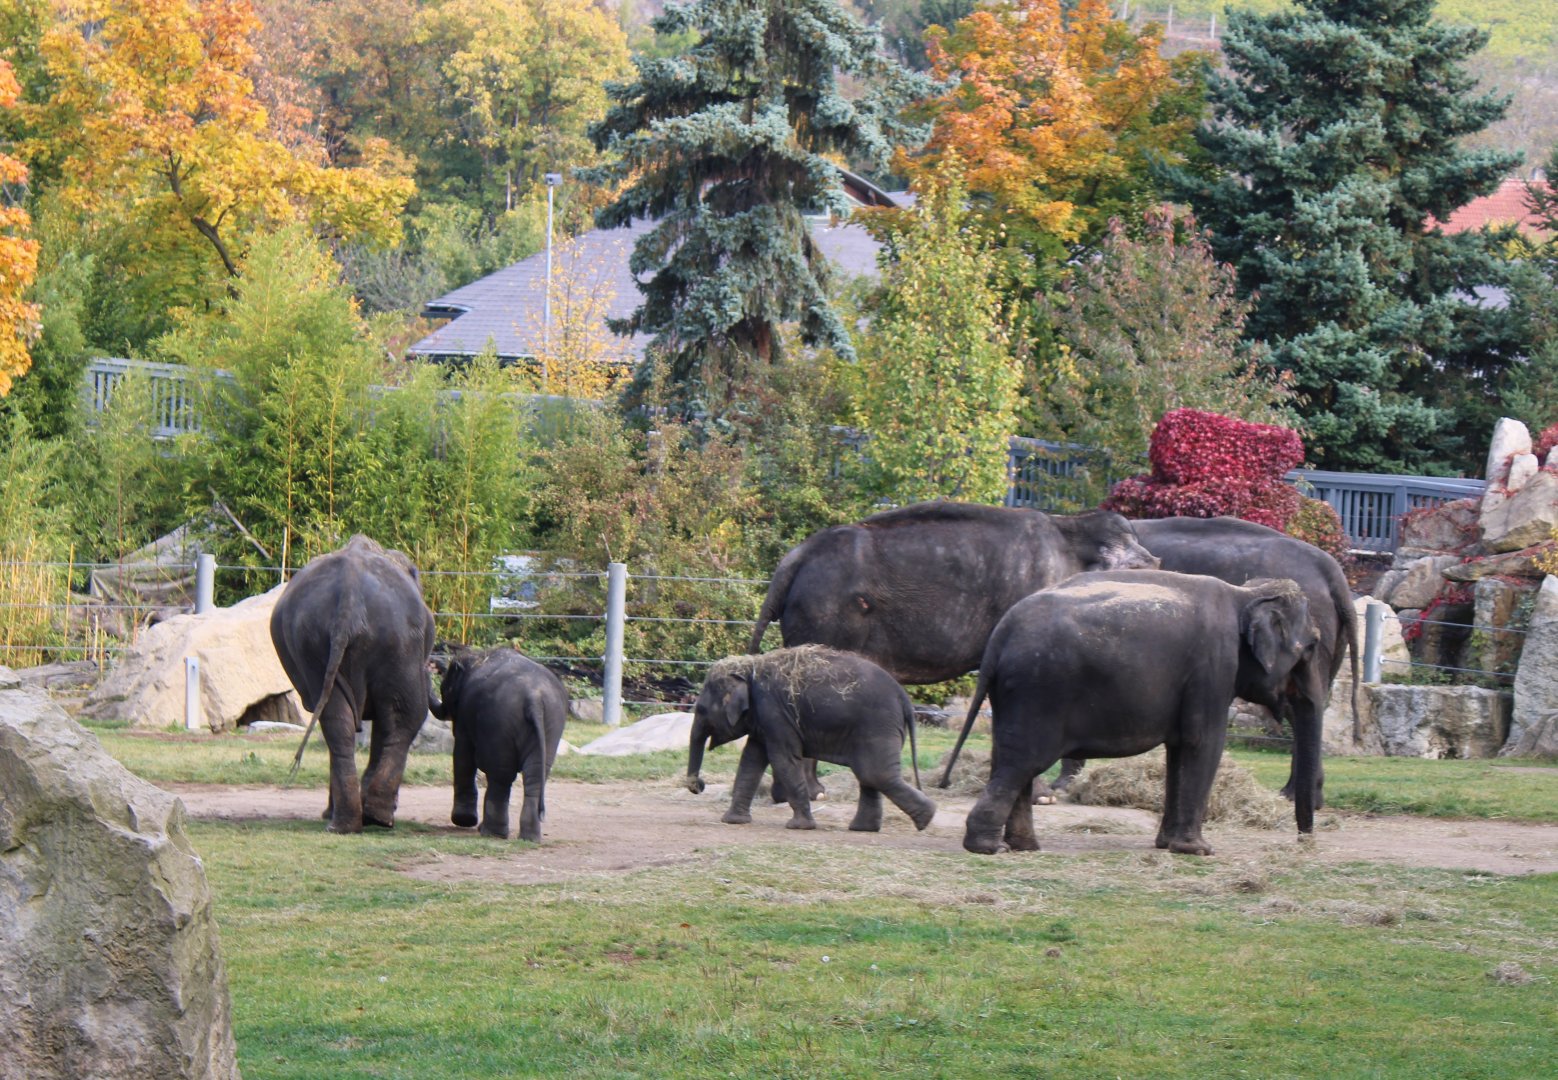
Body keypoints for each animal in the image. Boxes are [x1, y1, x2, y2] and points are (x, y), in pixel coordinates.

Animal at [270, 534, 436, 833]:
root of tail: (350, 594)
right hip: (397, 641)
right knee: (405, 717)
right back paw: (374, 818)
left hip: (320, 642)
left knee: (341, 722)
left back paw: (347, 822)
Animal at [429, 648, 568, 842]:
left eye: (443, 690)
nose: (431, 665)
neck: (477, 657)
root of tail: (534, 697)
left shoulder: (464, 714)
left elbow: (462, 754)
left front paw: (463, 821)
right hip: (551, 723)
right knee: (534, 776)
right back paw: (529, 838)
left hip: (500, 721)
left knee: (500, 776)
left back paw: (491, 832)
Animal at [685, 646, 937, 833]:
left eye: (701, 709)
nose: (699, 785)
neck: (749, 668)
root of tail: (904, 698)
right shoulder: (763, 719)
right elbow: (751, 760)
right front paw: (732, 821)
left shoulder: (774, 713)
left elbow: (783, 759)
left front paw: (799, 827)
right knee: (869, 774)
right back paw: (864, 829)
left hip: (877, 725)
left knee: (875, 773)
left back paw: (925, 818)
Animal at [748, 501, 1159, 801]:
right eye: (1140, 569)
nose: (1158, 567)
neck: (1071, 528)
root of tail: (794, 558)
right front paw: (1040, 796)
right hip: (826, 615)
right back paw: (812, 793)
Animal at [949, 569, 1317, 856]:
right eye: (1312, 647)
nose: (1304, 841)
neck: (1244, 593)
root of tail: (999, 636)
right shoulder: (1213, 668)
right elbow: (1203, 744)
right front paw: (1198, 851)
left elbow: (1179, 750)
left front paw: (1167, 845)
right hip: (1039, 692)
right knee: (1022, 762)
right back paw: (989, 847)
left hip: (1013, 696)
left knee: (1008, 759)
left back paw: (1023, 847)